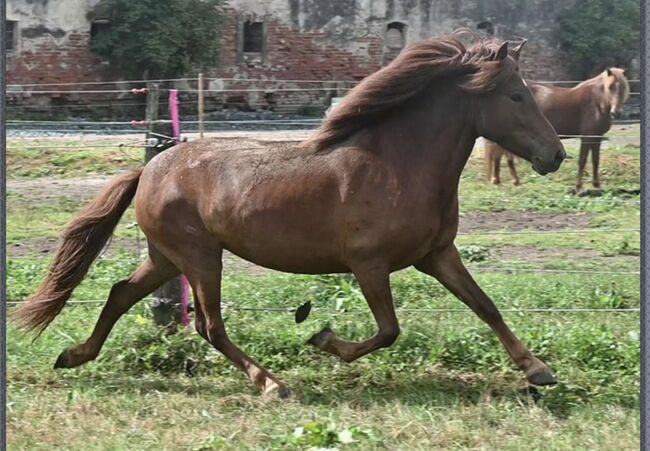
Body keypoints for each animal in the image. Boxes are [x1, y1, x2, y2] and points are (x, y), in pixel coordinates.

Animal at [13, 32, 565, 398]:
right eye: (517, 94)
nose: (555, 155)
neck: (398, 164)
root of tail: (149, 169)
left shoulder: (437, 254)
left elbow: (486, 306)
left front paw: (538, 371)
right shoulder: (369, 265)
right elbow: (389, 330)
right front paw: (322, 338)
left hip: (167, 258)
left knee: (119, 294)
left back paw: (73, 356)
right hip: (201, 256)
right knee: (209, 326)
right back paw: (272, 383)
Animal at [483, 67, 630, 191]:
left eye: (623, 87)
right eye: (610, 87)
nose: (617, 112)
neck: (596, 102)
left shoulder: (596, 138)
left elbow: (595, 161)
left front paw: (596, 184)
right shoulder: (587, 137)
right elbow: (582, 161)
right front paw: (578, 186)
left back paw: (504, 180)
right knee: (500, 155)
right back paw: (503, 180)